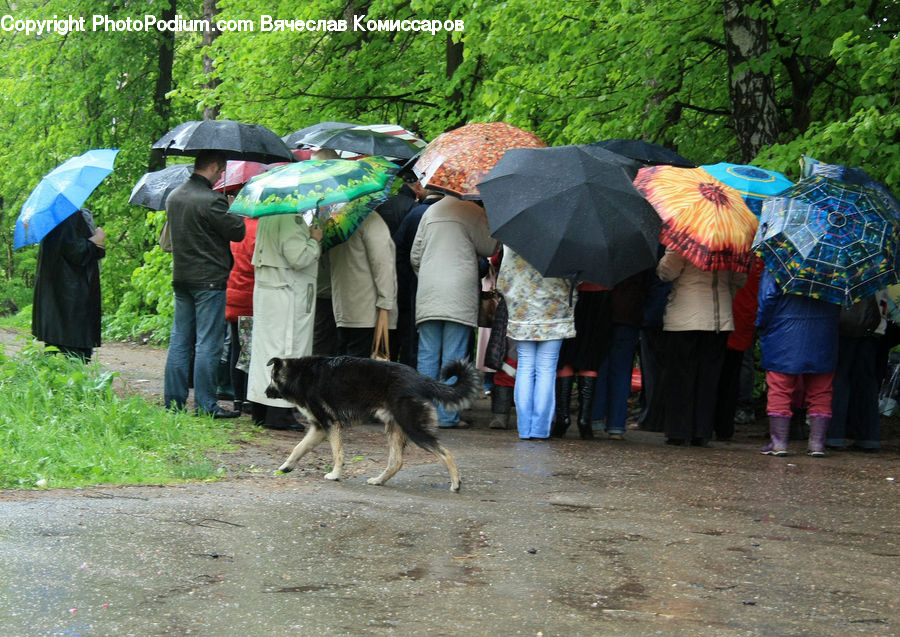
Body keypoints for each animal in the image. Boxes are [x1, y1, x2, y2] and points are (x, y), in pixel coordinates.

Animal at [266, 356, 482, 490]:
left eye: (270, 379)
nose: (265, 393)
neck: (299, 374)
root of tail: (421, 379)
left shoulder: (329, 424)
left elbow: (337, 454)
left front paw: (335, 475)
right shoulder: (319, 428)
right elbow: (298, 448)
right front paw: (285, 467)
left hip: (414, 428)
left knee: (445, 453)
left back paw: (456, 483)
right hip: (395, 429)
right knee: (396, 462)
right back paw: (379, 480)